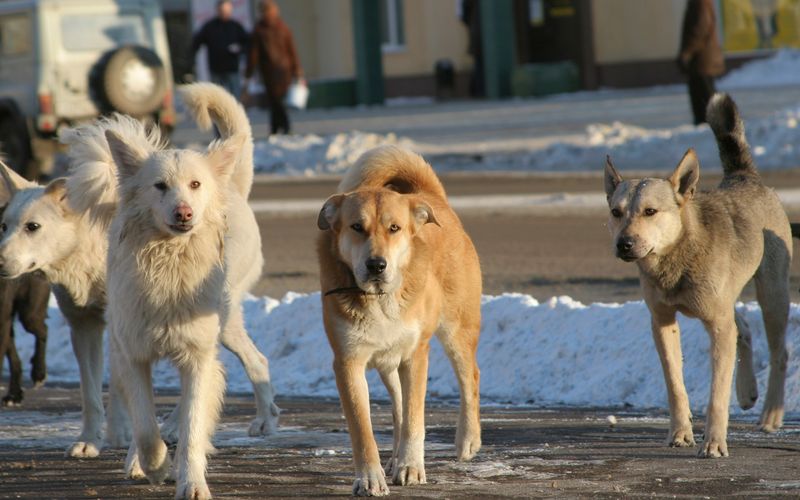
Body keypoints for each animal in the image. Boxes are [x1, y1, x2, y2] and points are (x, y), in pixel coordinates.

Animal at [318, 146, 482, 496]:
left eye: (394, 228)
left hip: (457, 329)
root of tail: (429, 196)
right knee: (397, 406)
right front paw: (371, 478)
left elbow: (415, 420)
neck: (381, 299)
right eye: (356, 227)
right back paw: (392, 460)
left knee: (469, 377)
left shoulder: (415, 355)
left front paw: (411, 467)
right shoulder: (348, 361)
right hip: (387, 363)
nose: (376, 265)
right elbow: (363, 429)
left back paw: (467, 441)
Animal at [608, 93, 788, 458]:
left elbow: (717, 394)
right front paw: (680, 432)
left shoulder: (717, 325)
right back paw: (747, 390)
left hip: (772, 295)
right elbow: (675, 384)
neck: (676, 259)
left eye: (650, 211)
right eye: (616, 212)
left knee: (779, 352)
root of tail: (743, 176)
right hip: (728, 299)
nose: (624, 244)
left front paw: (714, 443)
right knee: (743, 329)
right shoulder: (662, 322)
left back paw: (771, 415)